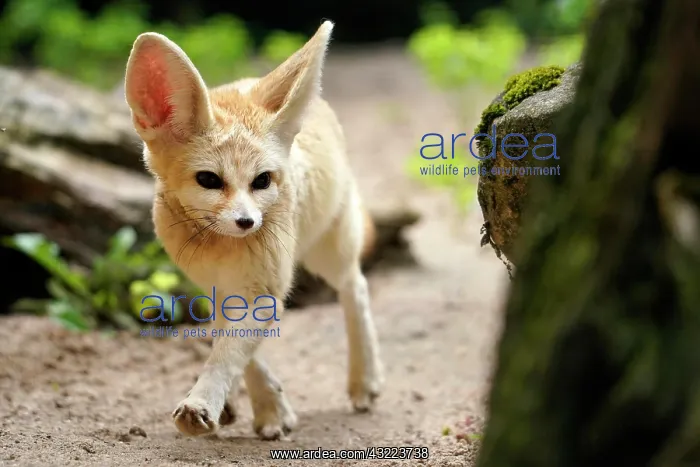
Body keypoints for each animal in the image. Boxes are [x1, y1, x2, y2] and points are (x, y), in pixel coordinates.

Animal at [123, 21, 384, 440]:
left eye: (262, 181)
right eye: (209, 180)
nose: (247, 222)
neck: (221, 248)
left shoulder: (264, 289)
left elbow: (229, 351)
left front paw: (204, 402)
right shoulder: (217, 286)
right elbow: (233, 343)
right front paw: (268, 406)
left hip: (330, 254)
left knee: (355, 288)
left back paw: (364, 380)